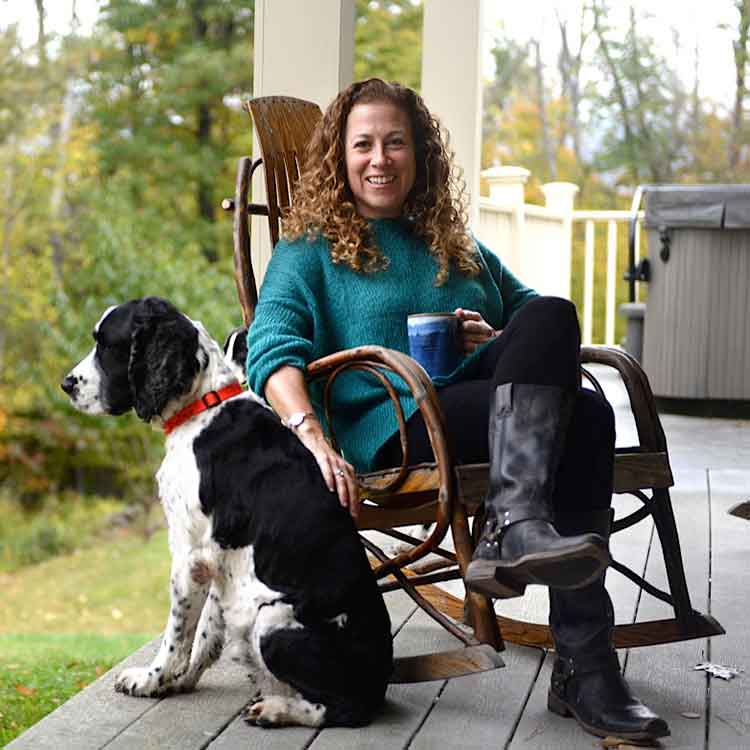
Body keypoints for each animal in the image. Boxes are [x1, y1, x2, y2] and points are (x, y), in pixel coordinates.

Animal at [61, 298, 394, 728]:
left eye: (106, 345)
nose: (67, 383)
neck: (202, 409)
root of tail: (381, 680)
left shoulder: (190, 554)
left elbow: (177, 632)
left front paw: (151, 680)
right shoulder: (217, 561)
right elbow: (204, 630)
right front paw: (180, 680)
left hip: (273, 620)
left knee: (342, 708)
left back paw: (275, 709)